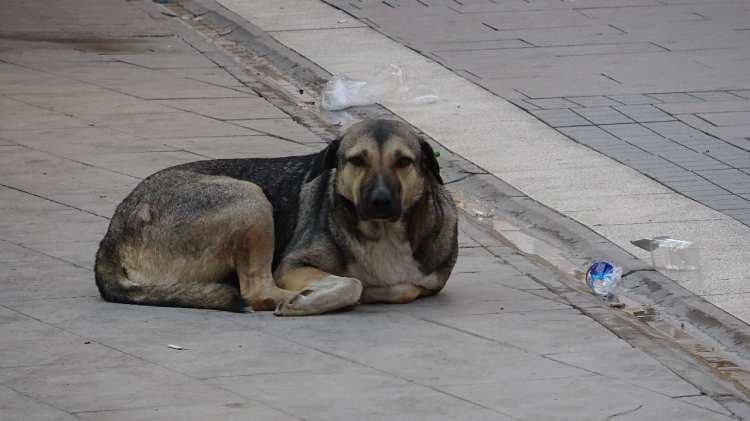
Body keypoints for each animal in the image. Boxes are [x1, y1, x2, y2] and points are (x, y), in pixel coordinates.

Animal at [94, 118, 458, 316]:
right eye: (357, 160)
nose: (379, 201)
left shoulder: (424, 282)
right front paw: (320, 296)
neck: (383, 232)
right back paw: (296, 300)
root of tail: (111, 235)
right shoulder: (293, 266)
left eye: (404, 162)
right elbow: (352, 283)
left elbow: (403, 288)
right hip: (250, 198)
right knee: (256, 290)